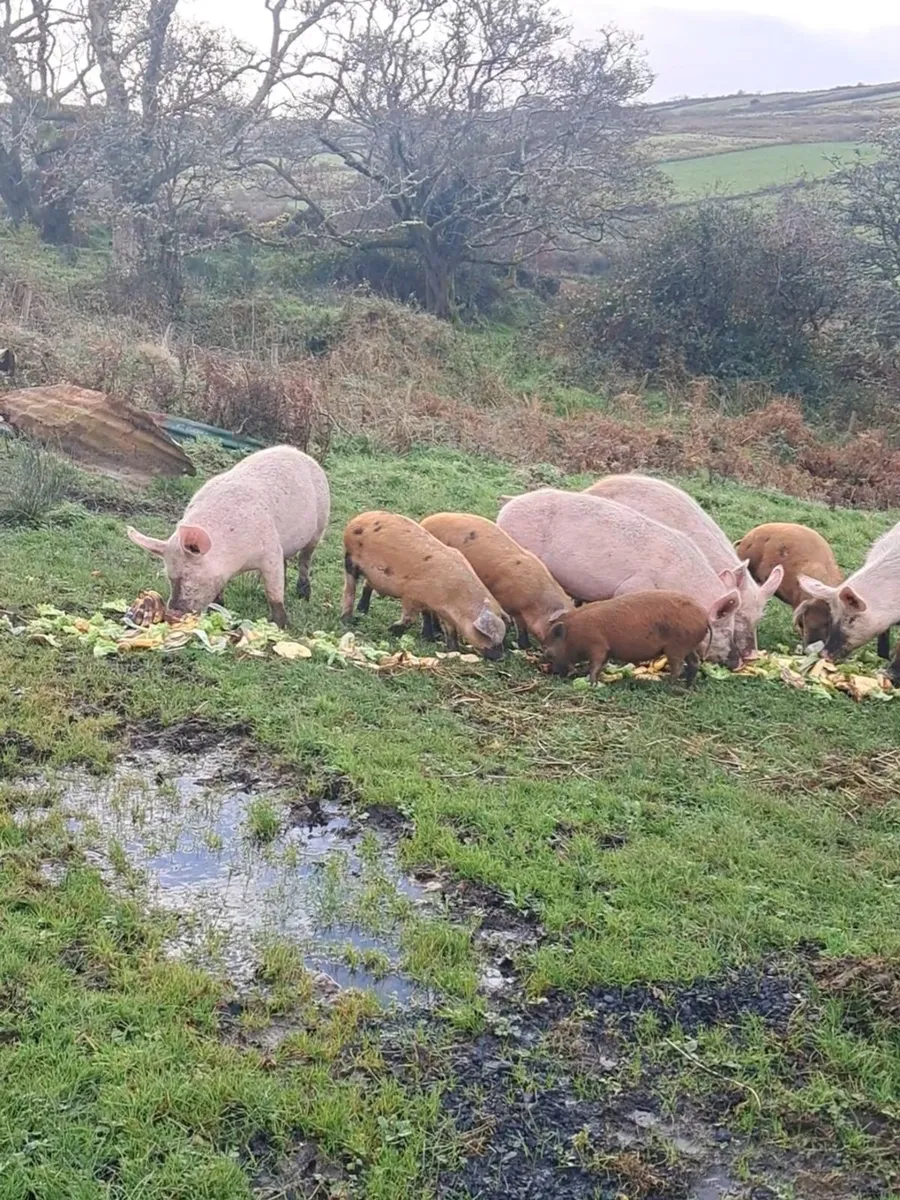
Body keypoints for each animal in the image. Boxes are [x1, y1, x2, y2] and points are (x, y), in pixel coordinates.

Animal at [126, 445, 330, 628]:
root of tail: (298, 452)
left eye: (188, 578)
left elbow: (274, 593)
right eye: (170, 577)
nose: (173, 612)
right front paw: (216, 611)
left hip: (321, 522)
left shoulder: (270, 550)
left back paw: (303, 595)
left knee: (305, 558)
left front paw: (282, 626)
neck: (237, 561)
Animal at [342, 511, 507, 659]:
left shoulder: (439, 608)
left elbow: (447, 628)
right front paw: (392, 630)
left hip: (371, 575)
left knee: (367, 585)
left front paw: (451, 648)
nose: (500, 657)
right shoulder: (411, 595)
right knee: (349, 588)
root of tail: (356, 520)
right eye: (487, 637)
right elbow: (410, 618)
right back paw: (347, 620)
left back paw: (362, 611)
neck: (453, 595)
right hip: (350, 560)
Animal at [420, 512, 572, 648]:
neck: (535, 598)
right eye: (557, 631)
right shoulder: (507, 601)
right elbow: (518, 624)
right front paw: (522, 646)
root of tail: (424, 522)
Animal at [542, 591, 711, 684]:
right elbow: (601, 664)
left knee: (678, 666)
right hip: (689, 646)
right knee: (694, 662)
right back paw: (688, 685)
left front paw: (591, 682)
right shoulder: (607, 650)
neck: (573, 633)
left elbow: (595, 664)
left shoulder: (598, 645)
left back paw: (667, 684)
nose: (554, 673)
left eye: (549, 653)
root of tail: (705, 618)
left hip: (677, 647)